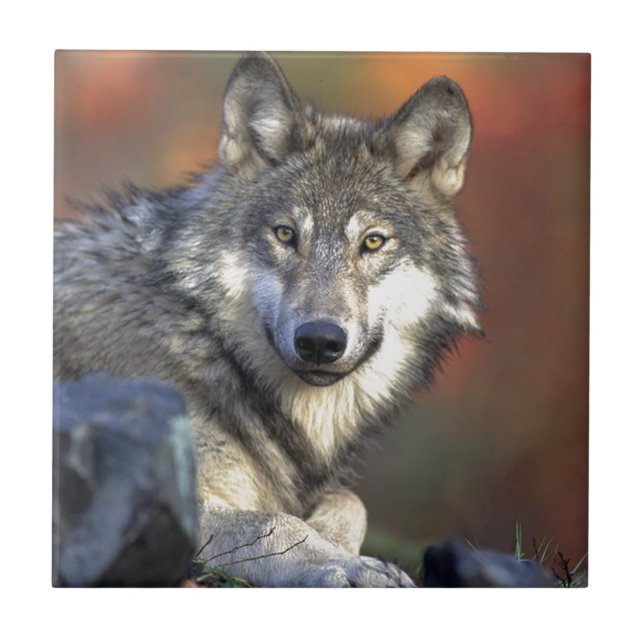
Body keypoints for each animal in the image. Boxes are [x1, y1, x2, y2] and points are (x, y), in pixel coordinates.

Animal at [54, 52, 480, 587]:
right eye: (284, 234)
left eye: (373, 242)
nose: (320, 340)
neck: (206, 343)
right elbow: (274, 523)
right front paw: (347, 564)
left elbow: (350, 501)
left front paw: (336, 540)